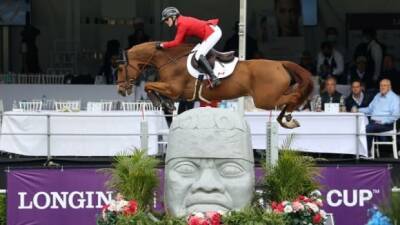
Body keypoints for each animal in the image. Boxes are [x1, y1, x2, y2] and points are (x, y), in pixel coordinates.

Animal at [117, 41, 314, 127]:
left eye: (119, 68)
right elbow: (152, 87)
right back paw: (285, 119)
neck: (169, 60)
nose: (120, 90)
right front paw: (165, 103)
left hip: (265, 99)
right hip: (269, 98)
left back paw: (287, 118)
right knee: (291, 97)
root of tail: (280, 63)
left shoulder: (174, 89)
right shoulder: (177, 93)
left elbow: (149, 86)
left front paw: (160, 102)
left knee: (294, 97)